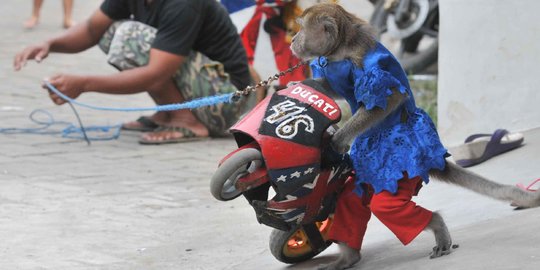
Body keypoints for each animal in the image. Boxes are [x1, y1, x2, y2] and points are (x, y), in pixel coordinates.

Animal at [288, 2, 540, 270]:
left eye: (301, 28)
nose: (293, 39)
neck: (341, 49)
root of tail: (432, 159)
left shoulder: (366, 65)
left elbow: (390, 98)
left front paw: (339, 139)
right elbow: (331, 88)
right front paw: (299, 86)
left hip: (405, 172)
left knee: (388, 207)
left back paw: (436, 224)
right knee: (351, 200)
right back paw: (348, 257)